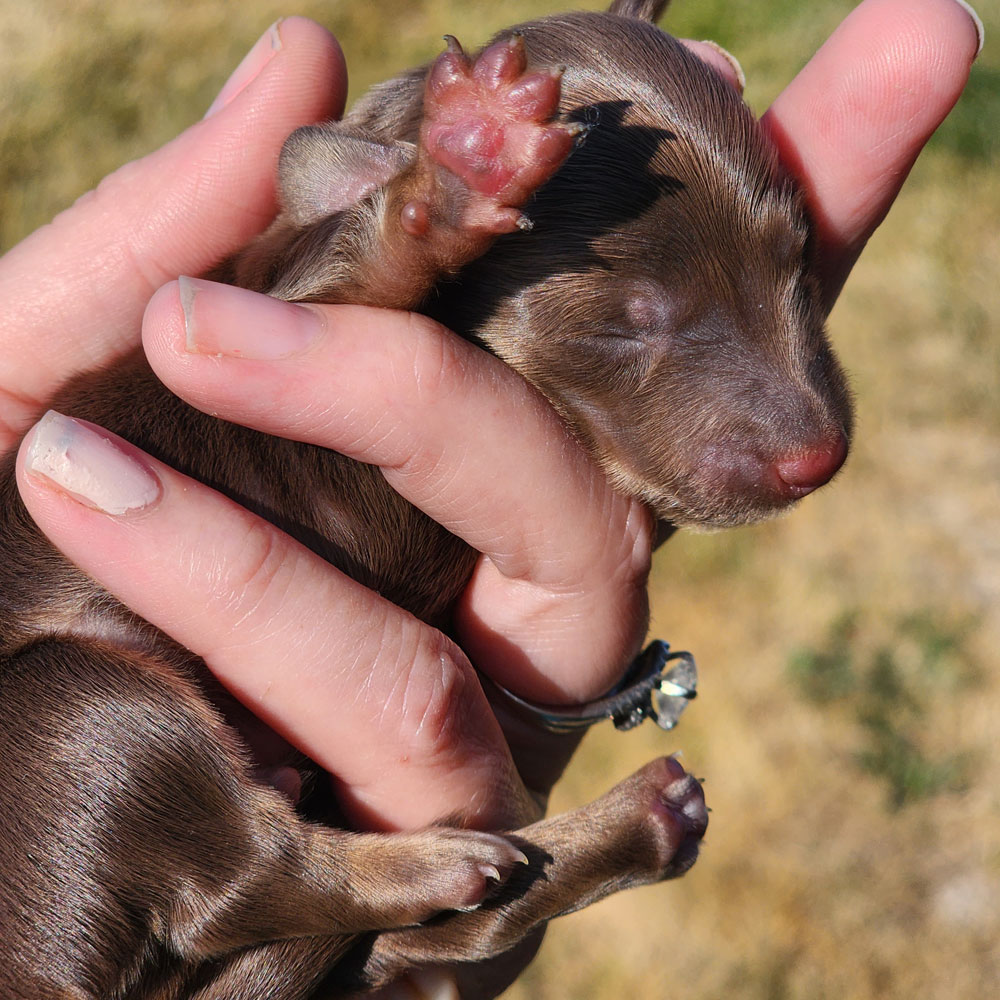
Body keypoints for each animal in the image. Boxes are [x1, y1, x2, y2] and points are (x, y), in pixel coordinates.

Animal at [0, 1, 852, 1000]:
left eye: (799, 259)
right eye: (626, 323)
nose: (818, 457)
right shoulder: (291, 335)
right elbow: (374, 277)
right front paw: (467, 158)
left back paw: (636, 826)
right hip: (68, 703)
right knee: (245, 880)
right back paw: (457, 856)